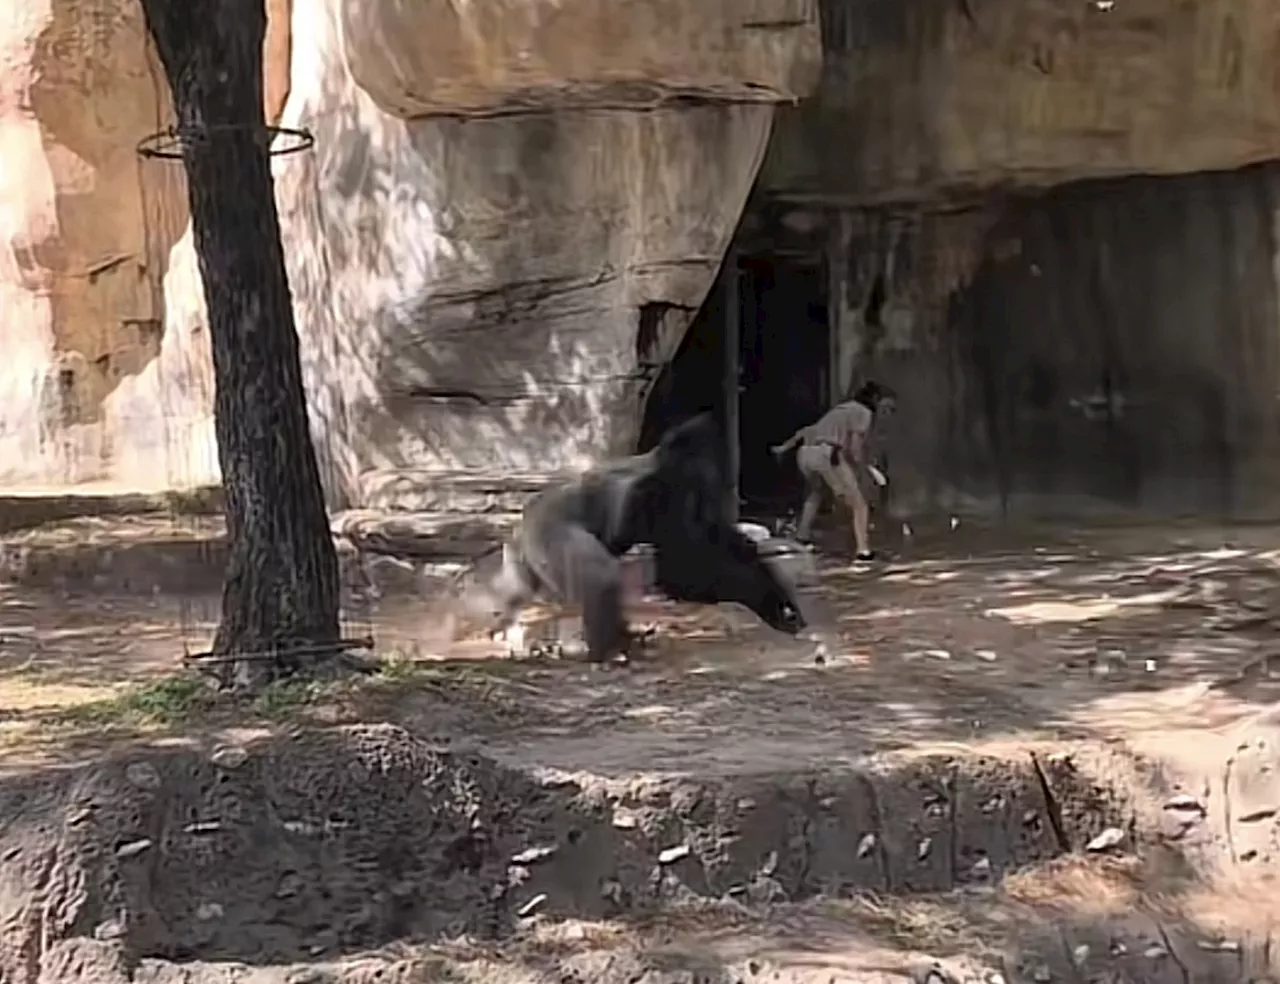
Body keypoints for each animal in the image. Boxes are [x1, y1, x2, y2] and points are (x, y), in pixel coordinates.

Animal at [476, 409, 803, 665]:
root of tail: (523, 523)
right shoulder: (665, 488)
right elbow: (688, 568)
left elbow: (724, 546)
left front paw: (776, 601)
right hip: (547, 534)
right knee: (600, 576)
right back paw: (608, 650)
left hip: (528, 558)